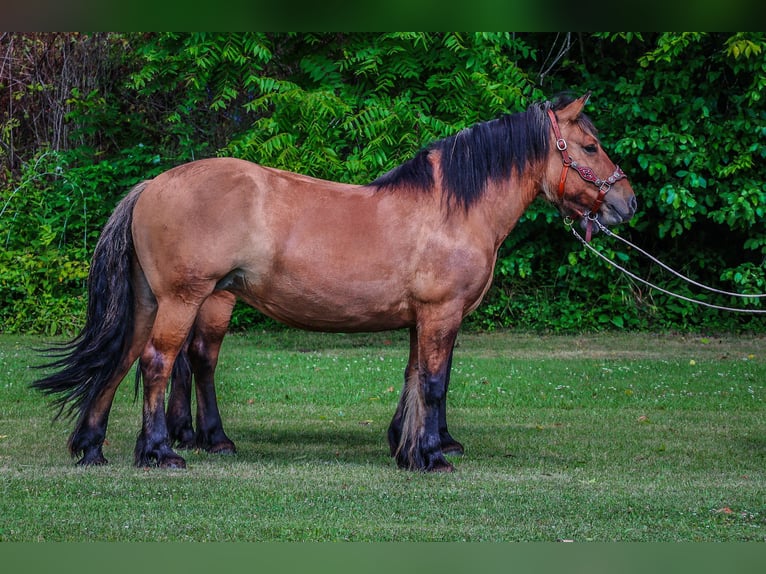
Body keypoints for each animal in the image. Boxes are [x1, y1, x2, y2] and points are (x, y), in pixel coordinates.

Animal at [32, 93, 636, 472]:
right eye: (589, 147)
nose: (627, 203)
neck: (451, 209)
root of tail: (153, 184)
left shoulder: (421, 319)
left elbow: (413, 380)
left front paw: (408, 448)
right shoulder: (441, 314)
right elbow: (434, 384)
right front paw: (431, 457)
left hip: (148, 303)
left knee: (122, 361)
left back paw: (93, 448)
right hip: (183, 300)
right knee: (159, 363)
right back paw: (160, 452)